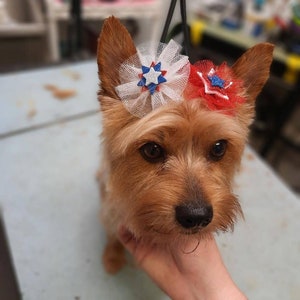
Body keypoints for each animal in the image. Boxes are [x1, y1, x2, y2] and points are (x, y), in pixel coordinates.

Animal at [96, 15, 274, 274]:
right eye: (152, 150)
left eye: (219, 148)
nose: (197, 216)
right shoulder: (111, 212)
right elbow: (111, 234)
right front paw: (112, 256)